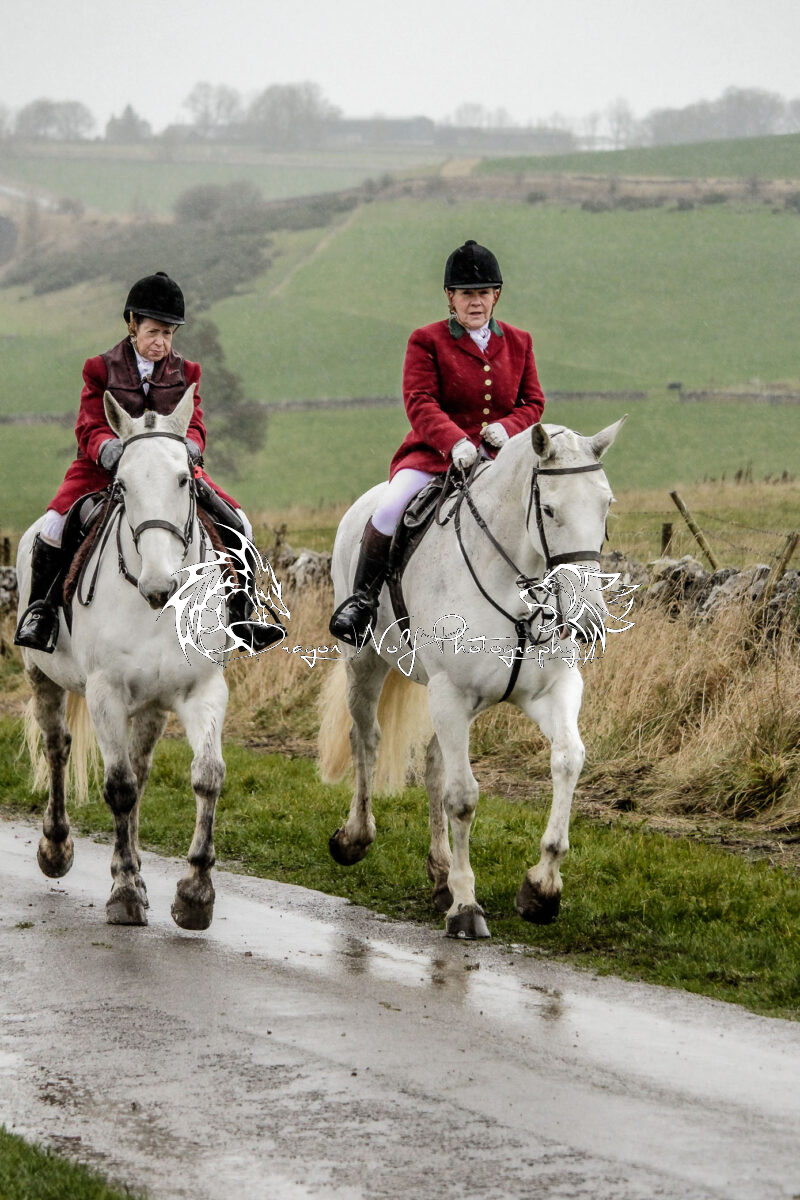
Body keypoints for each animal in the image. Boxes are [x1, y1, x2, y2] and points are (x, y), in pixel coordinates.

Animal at [16, 387, 230, 930]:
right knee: (58, 748)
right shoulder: (105, 693)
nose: (160, 585)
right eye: (123, 485)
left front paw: (195, 893)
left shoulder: (203, 691)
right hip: (42, 677)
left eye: (184, 479)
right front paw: (126, 889)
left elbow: (207, 776)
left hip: (152, 706)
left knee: (141, 767)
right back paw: (56, 847)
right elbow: (118, 787)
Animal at [319, 419, 627, 939]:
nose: (588, 620)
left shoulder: (553, 691)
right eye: (549, 509)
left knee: (433, 766)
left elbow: (568, 760)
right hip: (366, 664)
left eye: (605, 505)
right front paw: (466, 906)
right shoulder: (451, 694)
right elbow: (463, 798)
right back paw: (356, 838)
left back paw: (441, 871)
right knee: (366, 740)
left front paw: (542, 888)